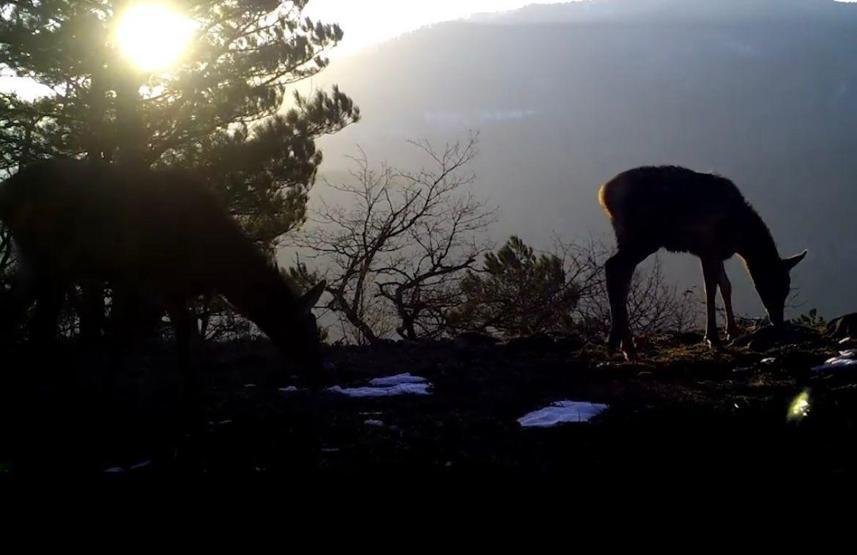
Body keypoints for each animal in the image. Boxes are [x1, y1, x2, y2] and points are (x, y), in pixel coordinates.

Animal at [0, 157, 326, 386]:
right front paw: (108, 384)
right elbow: (126, 335)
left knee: (17, 309)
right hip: (50, 258)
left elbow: (182, 331)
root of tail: (8, 191)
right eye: (303, 328)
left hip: (31, 260)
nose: (321, 372)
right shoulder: (146, 279)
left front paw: (191, 387)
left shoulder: (173, 288)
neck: (212, 264)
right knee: (40, 319)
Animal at [600, 164, 804, 360]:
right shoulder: (708, 249)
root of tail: (604, 194)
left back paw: (618, 343)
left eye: (787, 287)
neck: (740, 238)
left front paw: (731, 331)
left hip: (629, 238)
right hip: (641, 237)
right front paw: (712, 338)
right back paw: (625, 346)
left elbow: (726, 286)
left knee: (620, 276)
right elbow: (711, 289)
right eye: (772, 284)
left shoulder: (717, 254)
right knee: (614, 267)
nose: (778, 321)